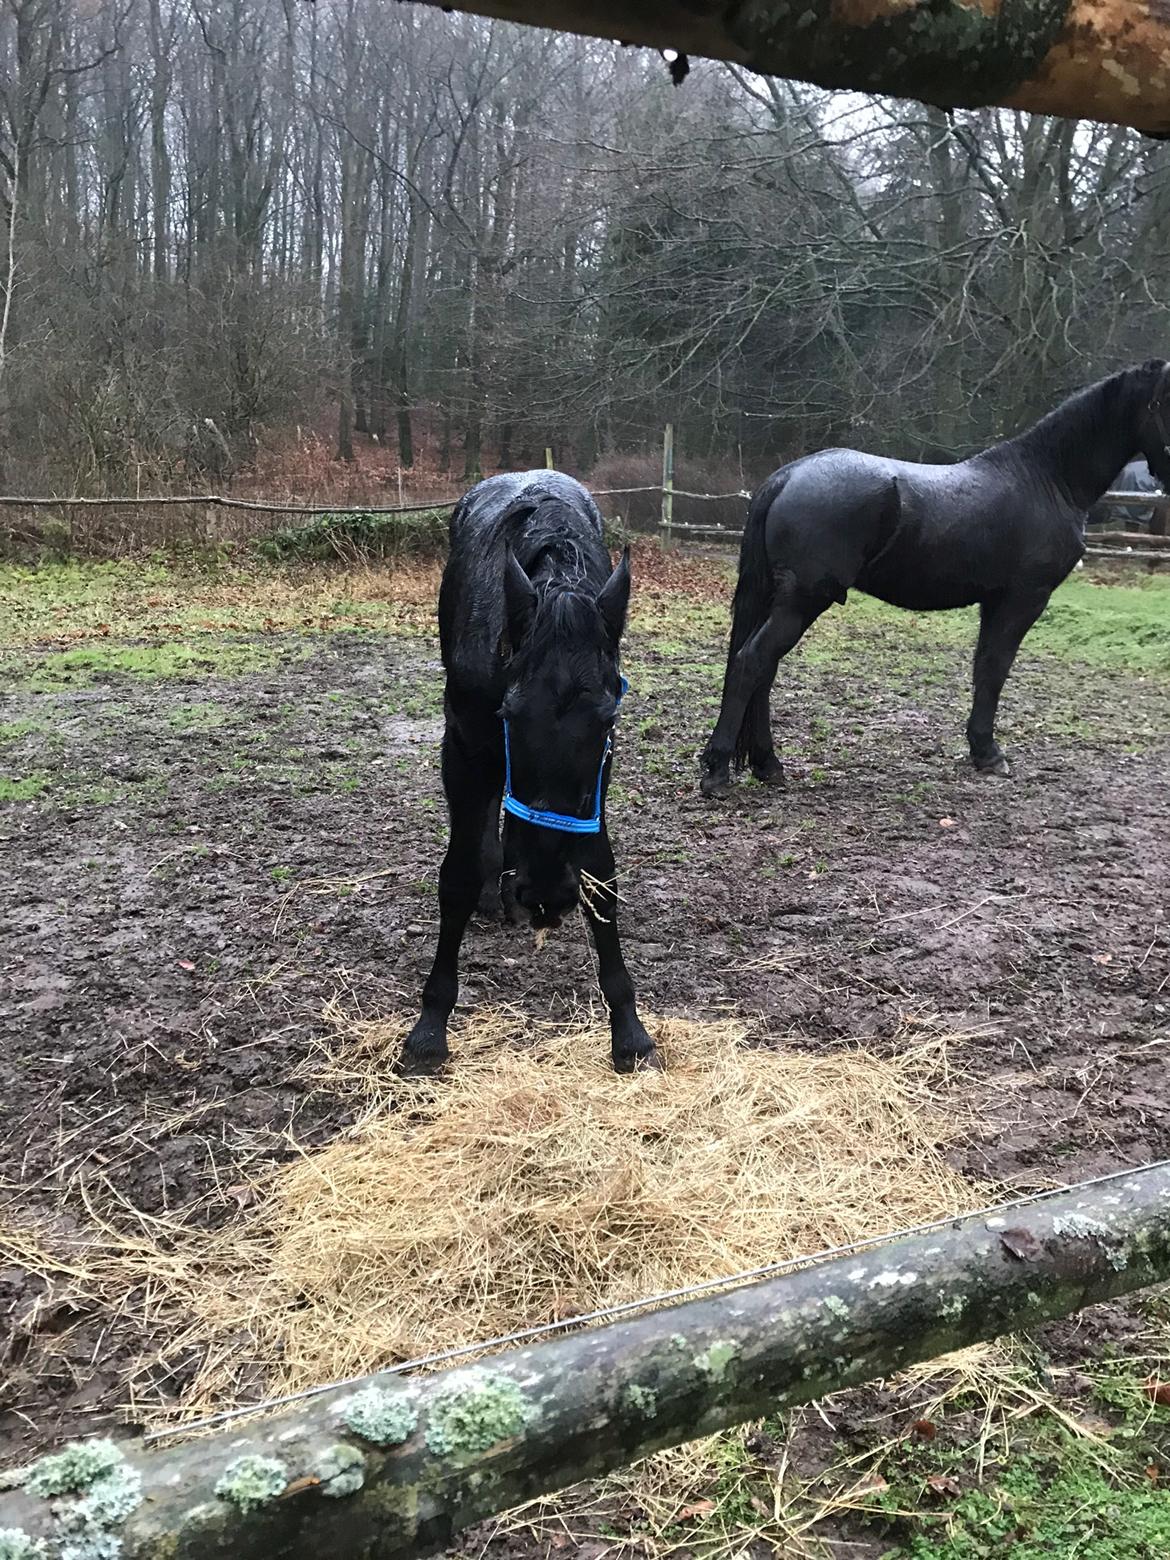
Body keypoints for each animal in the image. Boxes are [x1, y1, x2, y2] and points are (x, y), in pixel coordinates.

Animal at [402, 461, 661, 1073]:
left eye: (607, 721)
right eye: (510, 714)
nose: (545, 894)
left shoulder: (599, 776)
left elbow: (601, 877)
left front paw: (628, 1029)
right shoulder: (465, 749)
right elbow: (456, 876)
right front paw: (430, 1027)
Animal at [702, 360, 1170, 798]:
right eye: (1166, 402)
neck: (1047, 480)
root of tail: (787, 477)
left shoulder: (995, 601)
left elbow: (984, 667)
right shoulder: (1023, 598)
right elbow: (995, 670)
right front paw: (988, 753)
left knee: (763, 669)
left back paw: (767, 764)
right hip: (802, 600)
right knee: (751, 664)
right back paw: (719, 770)